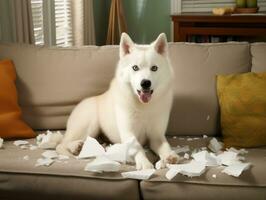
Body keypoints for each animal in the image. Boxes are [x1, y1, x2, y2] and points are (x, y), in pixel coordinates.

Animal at [55, 32, 179, 169]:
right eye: (135, 68)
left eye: (154, 68)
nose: (145, 83)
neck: (143, 107)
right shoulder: (128, 133)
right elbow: (137, 147)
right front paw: (144, 164)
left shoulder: (156, 136)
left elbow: (164, 146)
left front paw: (169, 156)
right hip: (90, 124)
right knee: (61, 144)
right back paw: (75, 146)